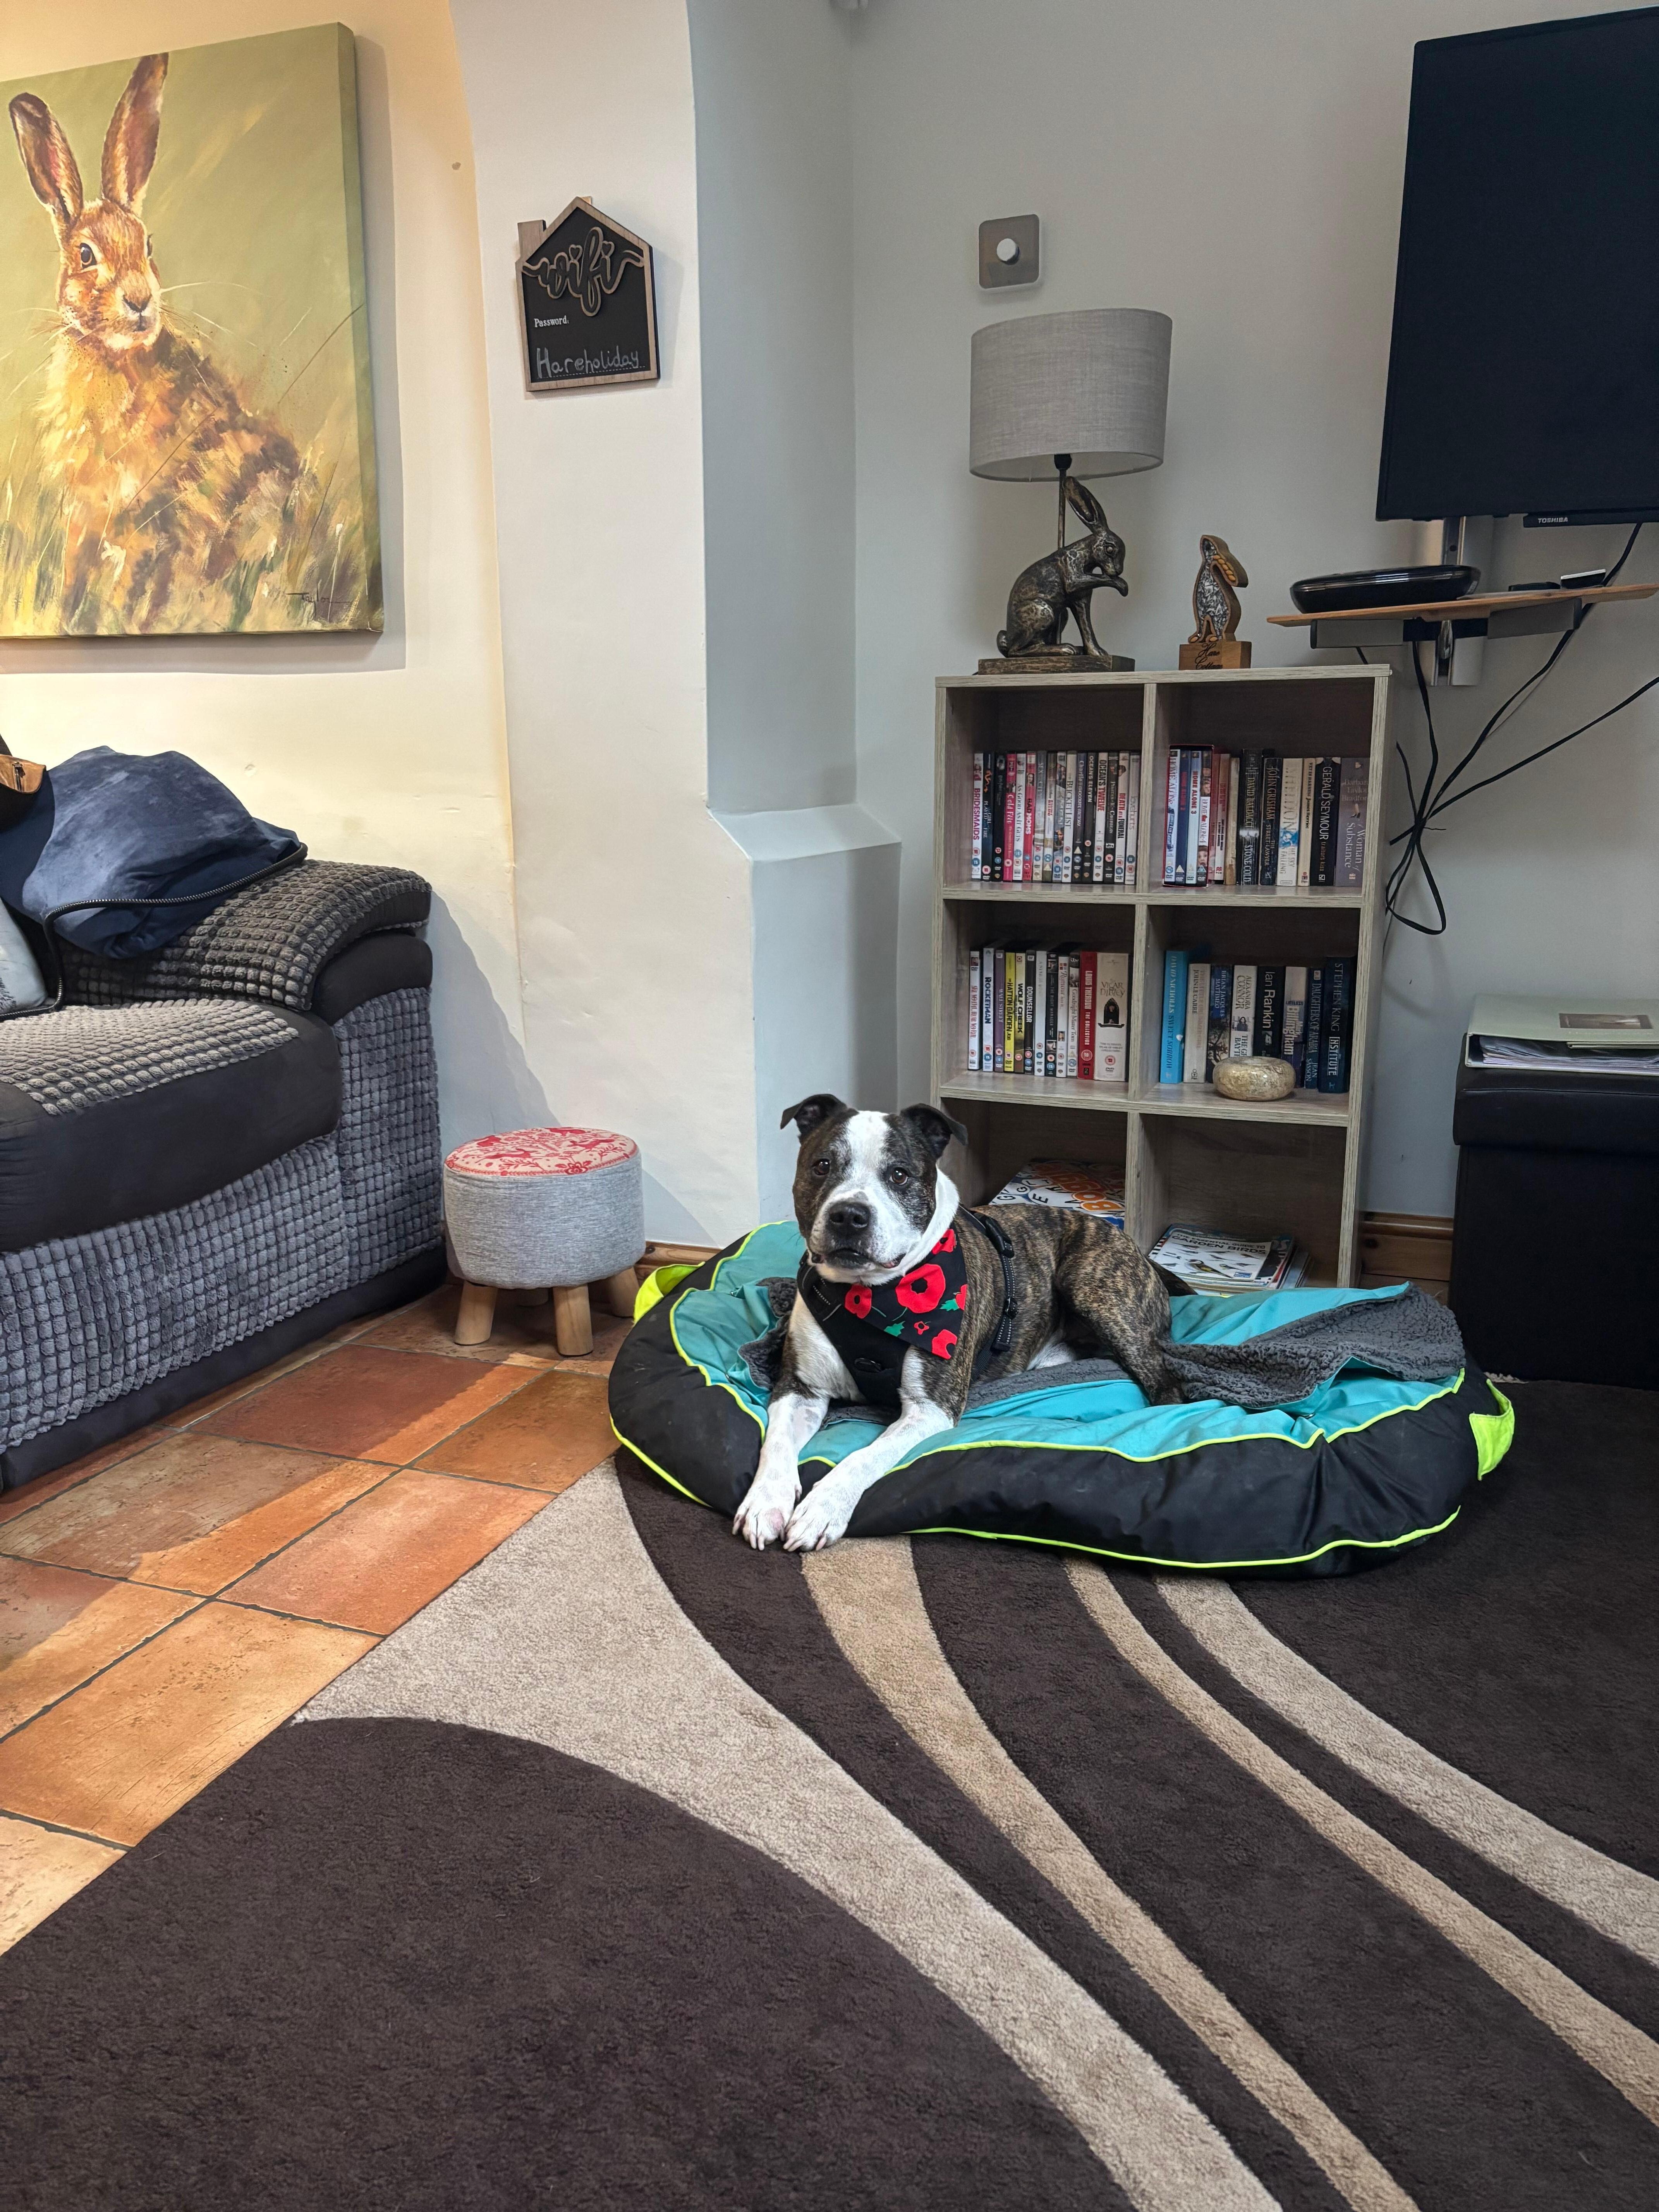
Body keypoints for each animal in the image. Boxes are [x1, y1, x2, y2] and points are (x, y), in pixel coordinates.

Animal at [733, 1095, 1178, 1552]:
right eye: (822, 1165)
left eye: (899, 1175)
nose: (849, 1215)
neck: (866, 1296)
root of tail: (1137, 1251)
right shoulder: (799, 1388)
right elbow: (777, 1443)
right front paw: (765, 1503)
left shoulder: (930, 1407)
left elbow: (866, 1456)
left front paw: (824, 1508)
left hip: (1093, 1288)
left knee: (1166, 1380)